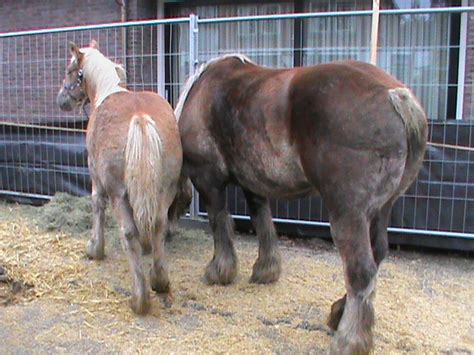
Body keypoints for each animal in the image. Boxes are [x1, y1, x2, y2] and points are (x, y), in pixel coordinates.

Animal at [55, 40, 181, 316]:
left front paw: (95, 248)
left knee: (129, 233)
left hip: (119, 195)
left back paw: (139, 298)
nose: (61, 100)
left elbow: (96, 207)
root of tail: (140, 117)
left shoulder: (96, 179)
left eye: (70, 70)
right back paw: (159, 281)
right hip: (165, 190)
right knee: (158, 224)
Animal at [176, 54, 428, 354]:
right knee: (377, 254)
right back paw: (338, 312)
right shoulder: (254, 182)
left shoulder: (208, 180)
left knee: (361, 270)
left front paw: (220, 271)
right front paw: (266, 269)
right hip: (381, 210)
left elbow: (219, 222)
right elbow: (262, 220)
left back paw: (349, 340)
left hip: (348, 215)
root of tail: (395, 95)